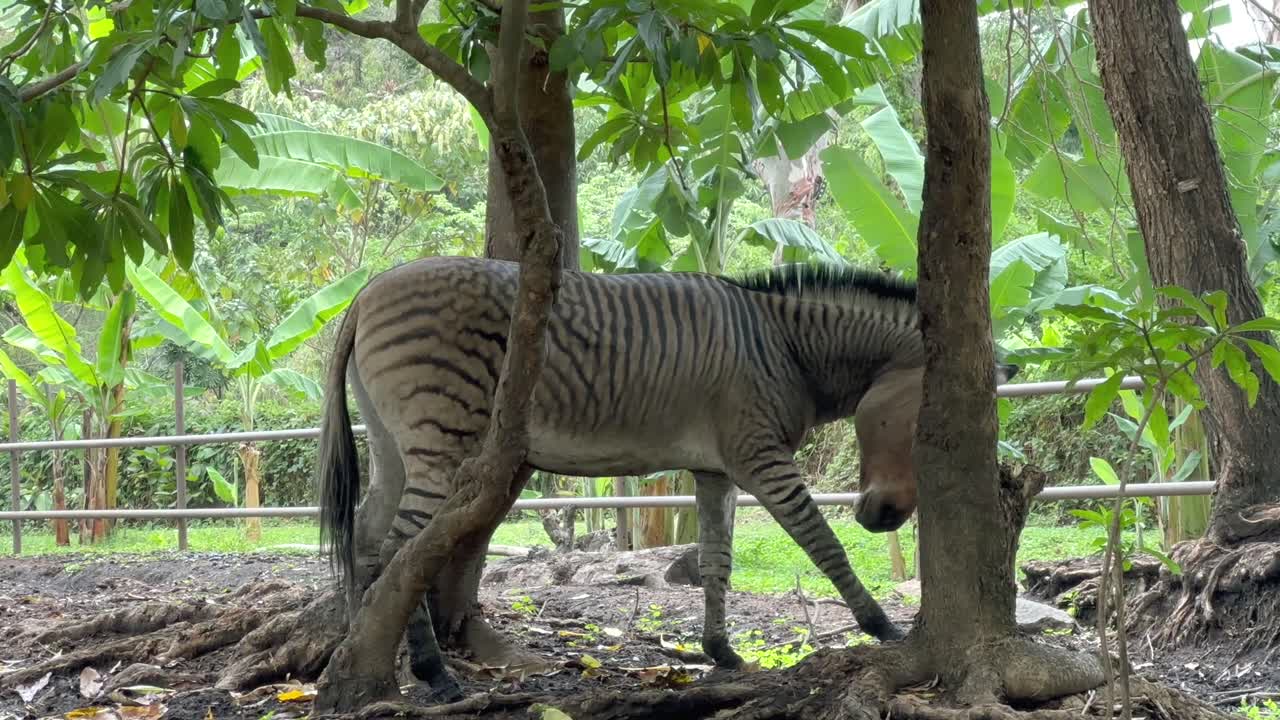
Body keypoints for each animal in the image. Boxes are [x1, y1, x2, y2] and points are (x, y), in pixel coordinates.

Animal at [316, 255, 1017, 699]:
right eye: (930, 426)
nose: (885, 518)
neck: (788, 349)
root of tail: (367, 291)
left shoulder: (714, 467)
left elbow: (715, 560)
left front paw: (721, 652)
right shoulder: (759, 455)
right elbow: (823, 544)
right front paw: (882, 627)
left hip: (392, 445)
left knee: (367, 541)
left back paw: (354, 655)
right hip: (442, 438)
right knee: (399, 550)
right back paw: (429, 671)